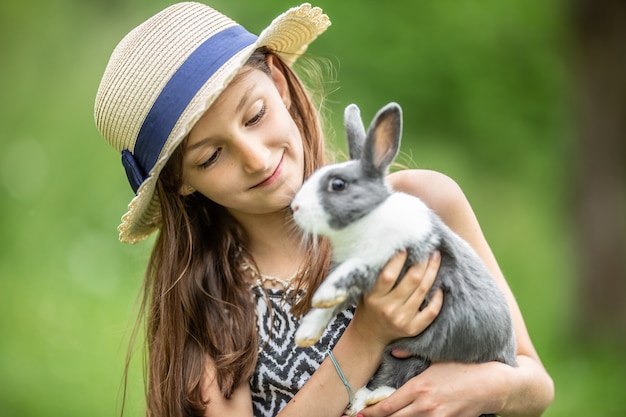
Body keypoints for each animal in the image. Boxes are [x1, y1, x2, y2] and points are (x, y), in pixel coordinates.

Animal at [290, 101, 516, 416]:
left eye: (338, 184)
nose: (295, 207)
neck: (366, 219)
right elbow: (330, 307)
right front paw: (306, 332)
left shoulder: (393, 256)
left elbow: (352, 270)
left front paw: (321, 296)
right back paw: (358, 401)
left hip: (421, 359)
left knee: (400, 386)